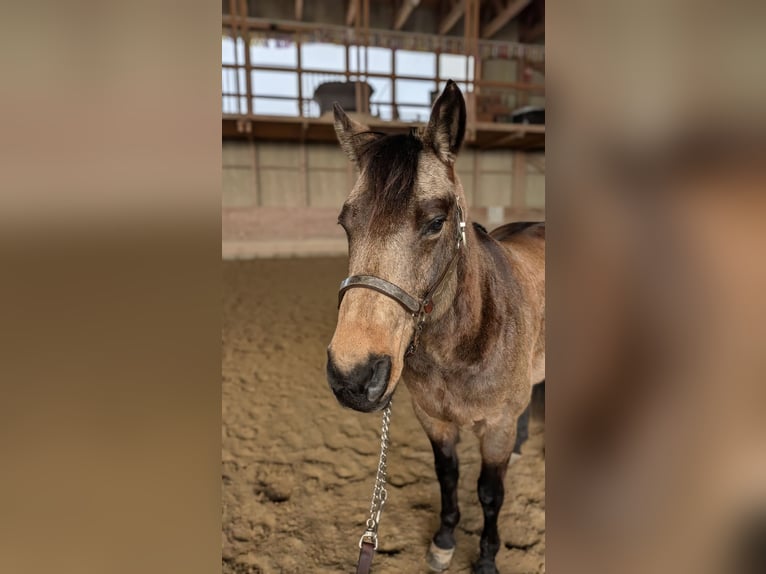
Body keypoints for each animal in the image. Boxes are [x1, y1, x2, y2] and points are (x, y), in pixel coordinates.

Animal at [326, 80, 545, 574]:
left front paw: (486, 558)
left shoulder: (496, 426)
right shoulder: (434, 420)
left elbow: (490, 493)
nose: (353, 376)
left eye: (436, 222)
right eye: (346, 223)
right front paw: (444, 541)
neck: (462, 346)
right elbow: (448, 477)